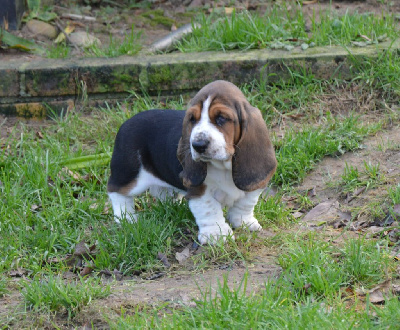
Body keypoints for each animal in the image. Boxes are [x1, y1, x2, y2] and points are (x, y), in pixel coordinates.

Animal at [108, 79, 276, 244]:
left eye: (221, 118)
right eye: (193, 119)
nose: (198, 145)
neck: (224, 167)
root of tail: (126, 123)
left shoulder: (253, 186)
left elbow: (245, 203)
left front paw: (243, 222)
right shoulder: (199, 189)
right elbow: (209, 209)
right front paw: (216, 234)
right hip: (131, 174)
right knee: (116, 190)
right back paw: (126, 218)